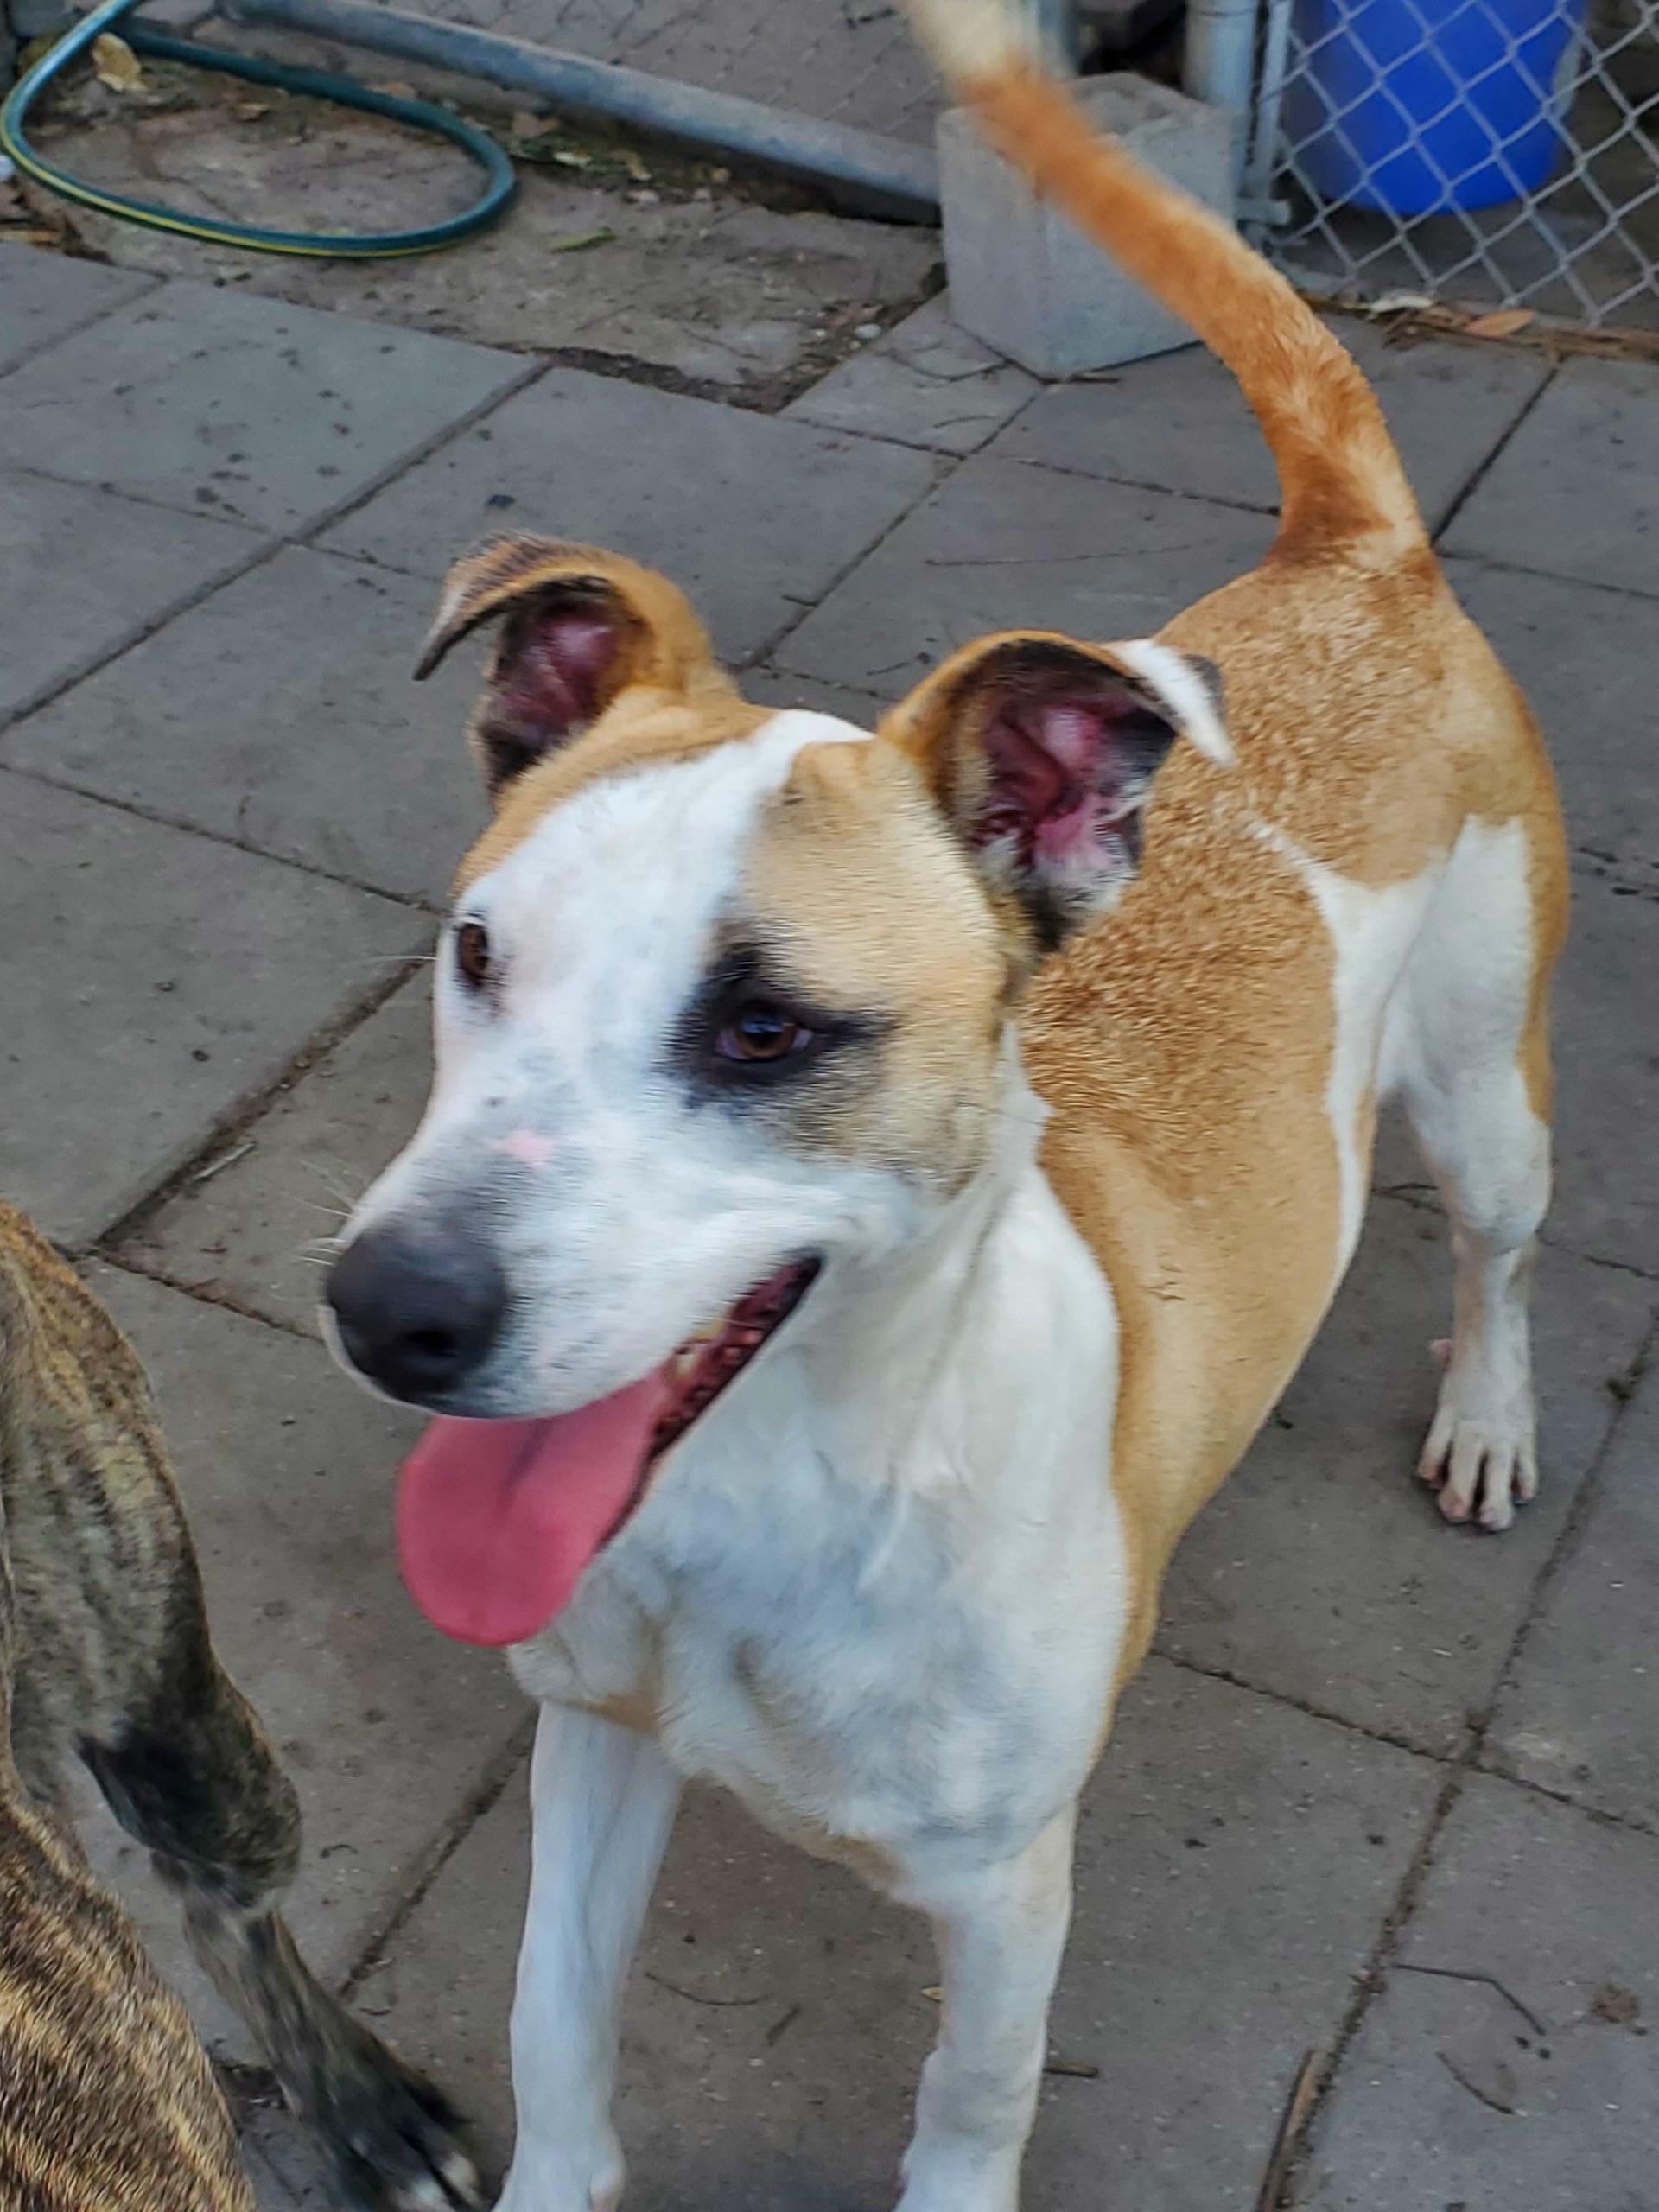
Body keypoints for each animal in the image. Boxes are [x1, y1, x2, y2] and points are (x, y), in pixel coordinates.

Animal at [322, 4, 1568, 2204]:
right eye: (477, 949)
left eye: (765, 1030)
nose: (387, 1311)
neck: (785, 1494)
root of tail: (1352, 554)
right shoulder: (595, 1743)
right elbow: (556, 2028)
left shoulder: (1004, 1895)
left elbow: (969, 2105)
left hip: (1491, 1090)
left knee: (1501, 1256)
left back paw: (1487, 1420)